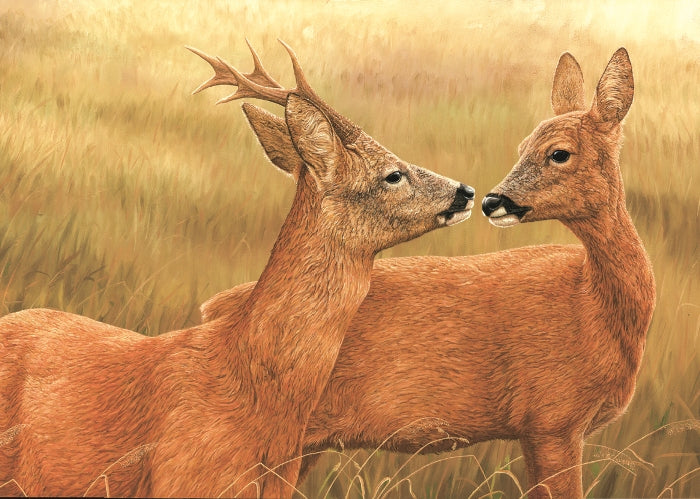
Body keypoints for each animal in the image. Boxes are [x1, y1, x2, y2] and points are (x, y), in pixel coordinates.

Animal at [199, 48, 656, 498]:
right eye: (524, 146)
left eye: (558, 152)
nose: (490, 200)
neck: (590, 302)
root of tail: (211, 311)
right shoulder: (550, 417)